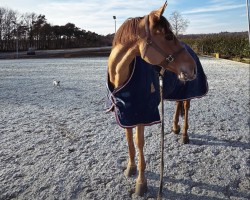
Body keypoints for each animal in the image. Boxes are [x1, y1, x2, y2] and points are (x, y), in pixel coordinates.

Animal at [107, 1, 197, 195]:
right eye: (168, 36)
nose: (192, 68)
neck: (121, 76)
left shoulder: (142, 114)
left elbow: (139, 142)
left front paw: (141, 183)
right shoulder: (127, 112)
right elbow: (129, 140)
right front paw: (130, 168)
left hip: (188, 92)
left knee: (186, 108)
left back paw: (184, 135)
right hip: (178, 89)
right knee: (178, 105)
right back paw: (175, 128)